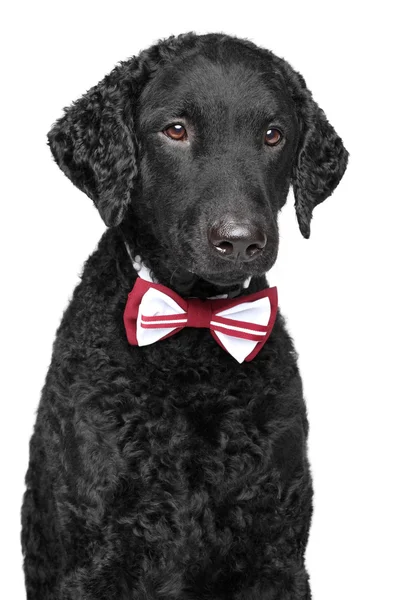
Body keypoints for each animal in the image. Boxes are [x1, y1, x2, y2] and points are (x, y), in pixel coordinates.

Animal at [21, 34, 346, 600]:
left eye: (273, 135)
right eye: (176, 130)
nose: (240, 241)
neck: (193, 334)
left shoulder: (276, 552)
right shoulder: (99, 556)